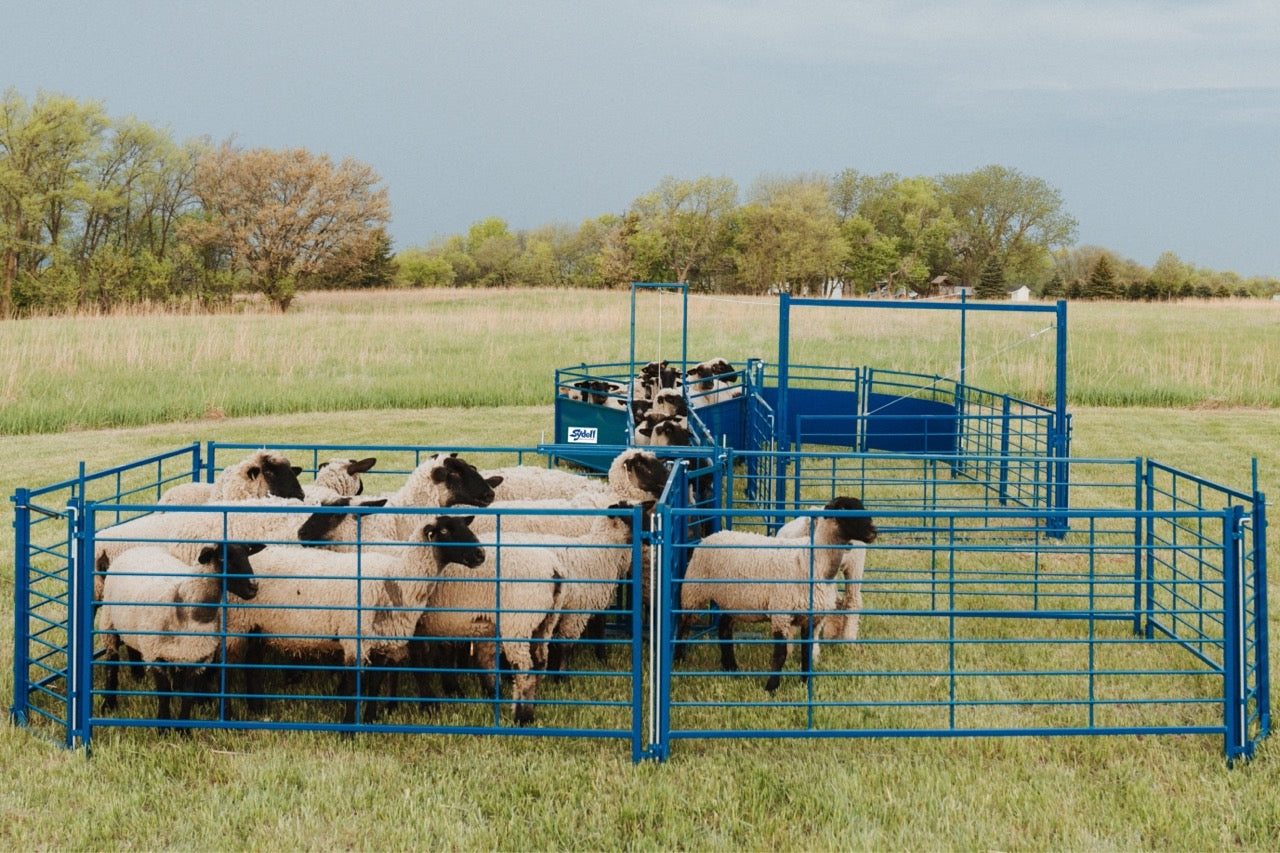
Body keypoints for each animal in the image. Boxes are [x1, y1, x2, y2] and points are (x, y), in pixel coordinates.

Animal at [97, 542, 264, 722]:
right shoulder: (154, 653)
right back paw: (108, 704)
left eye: (247, 554)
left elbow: (188, 695)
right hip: (109, 623)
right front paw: (163, 724)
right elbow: (164, 693)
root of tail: (139, 548)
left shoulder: (197, 656)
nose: (253, 587)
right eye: (222, 558)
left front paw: (183, 726)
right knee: (111, 663)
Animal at [232, 515, 485, 725]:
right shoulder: (355, 640)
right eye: (444, 530)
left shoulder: (382, 641)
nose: (480, 555)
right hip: (239, 622)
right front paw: (348, 729)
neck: (396, 579)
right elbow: (355, 687)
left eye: (465, 526)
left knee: (252, 664)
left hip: (257, 626)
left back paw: (257, 708)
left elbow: (374, 684)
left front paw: (370, 719)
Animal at [675, 496, 877, 692]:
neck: (812, 560)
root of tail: (714, 535)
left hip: (732, 599)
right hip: (694, 590)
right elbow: (780, 654)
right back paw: (679, 660)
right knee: (684, 625)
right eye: (843, 509)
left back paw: (730, 667)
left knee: (724, 628)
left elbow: (806, 651)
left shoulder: (812, 618)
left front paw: (804, 683)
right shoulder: (782, 613)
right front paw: (771, 687)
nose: (874, 531)